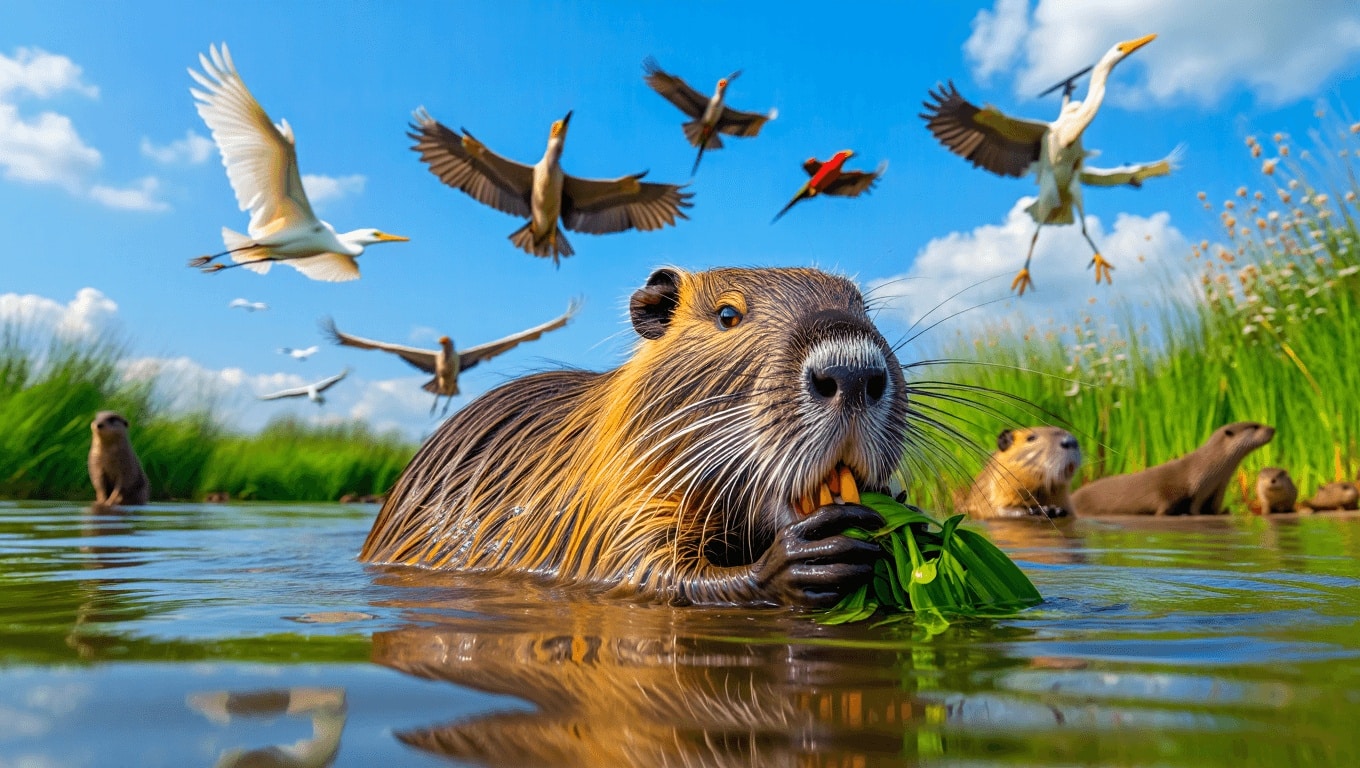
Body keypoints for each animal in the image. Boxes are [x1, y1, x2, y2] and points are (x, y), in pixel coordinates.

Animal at [361, 267, 911, 608]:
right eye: (727, 315)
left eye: (863, 306)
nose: (852, 371)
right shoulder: (614, 497)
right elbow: (645, 568)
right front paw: (807, 556)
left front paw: (897, 507)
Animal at [1071, 422, 1273, 516]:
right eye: (1255, 426)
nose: (1272, 428)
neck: (1206, 469)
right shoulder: (1186, 488)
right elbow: (1183, 503)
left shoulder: (1217, 489)